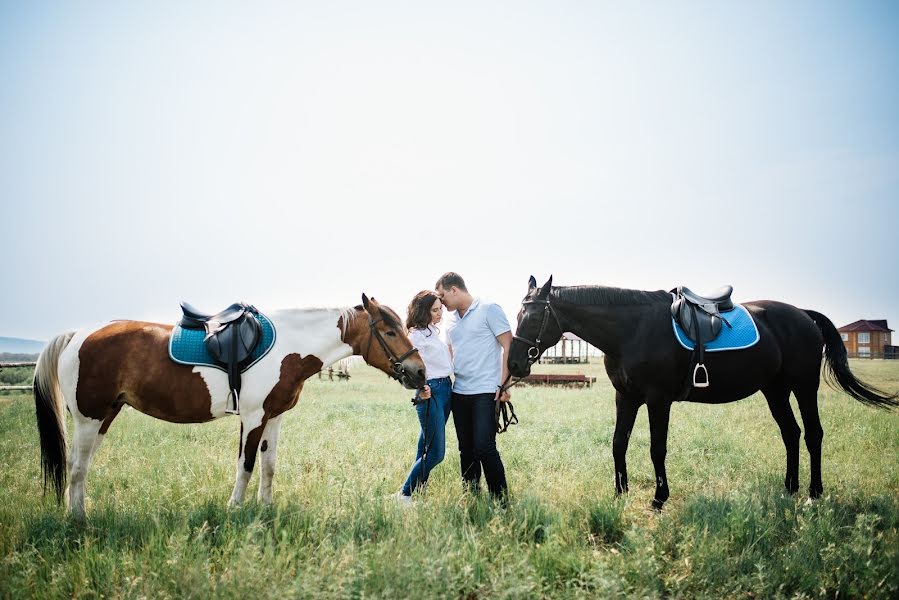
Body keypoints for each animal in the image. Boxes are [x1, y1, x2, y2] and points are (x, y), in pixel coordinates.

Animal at [35, 292, 426, 516]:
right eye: (390, 331)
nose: (419, 371)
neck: (289, 346)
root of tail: (77, 335)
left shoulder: (274, 418)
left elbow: (269, 466)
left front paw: (265, 509)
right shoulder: (252, 418)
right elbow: (247, 466)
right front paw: (235, 509)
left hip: (105, 415)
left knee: (80, 466)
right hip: (89, 418)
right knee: (77, 467)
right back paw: (79, 519)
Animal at [510, 276, 896, 506]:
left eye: (533, 317)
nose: (513, 364)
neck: (632, 328)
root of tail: (803, 314)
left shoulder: (658, 399)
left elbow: (657, 449)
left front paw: (659, 498)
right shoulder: (626, 397)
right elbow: (618, 442)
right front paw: (620, 492)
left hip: (803, 386)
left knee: (813, 433)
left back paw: (815, 492)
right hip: (774, 390)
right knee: (791, 433)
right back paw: (790, 487)